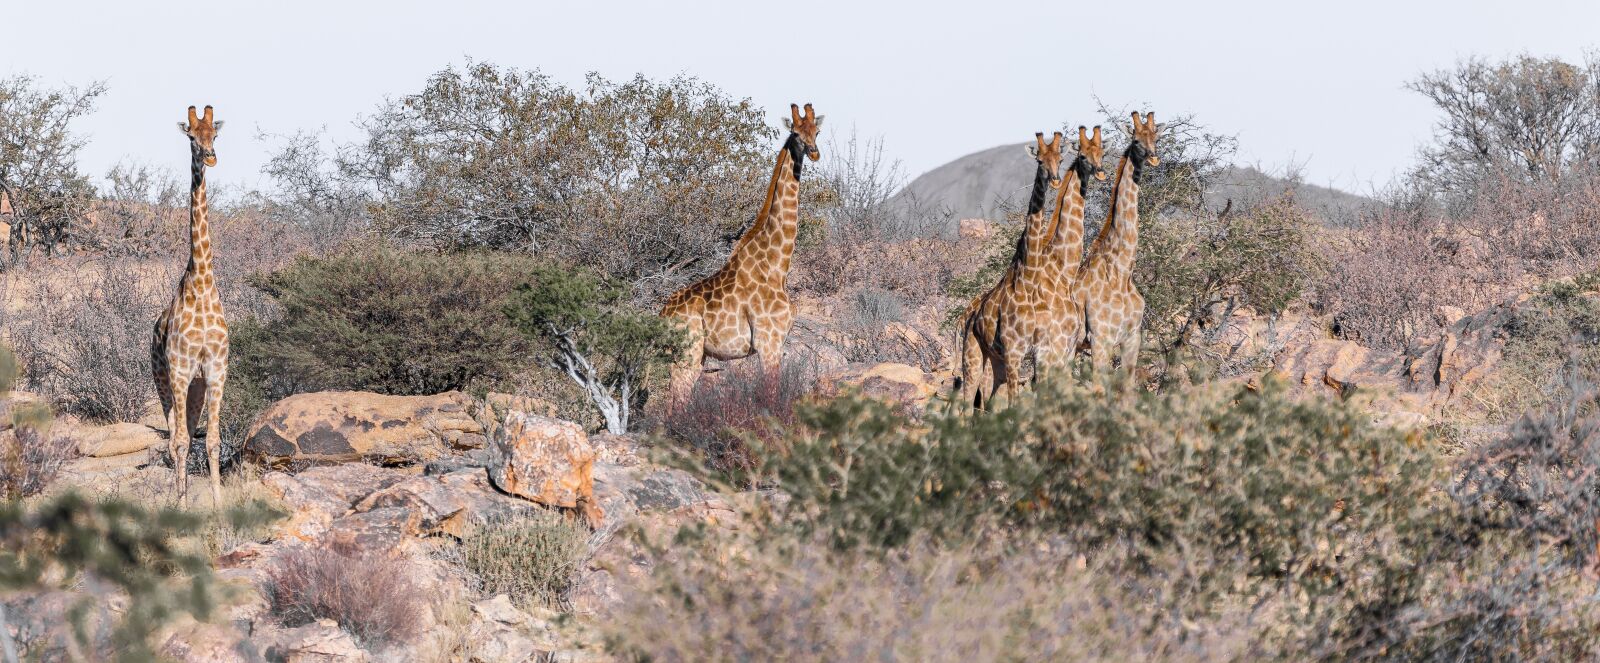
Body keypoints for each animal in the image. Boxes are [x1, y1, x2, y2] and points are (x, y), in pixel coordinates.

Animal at [659, 100, 825, 395]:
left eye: (817, 132)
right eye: (795, 133)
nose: (814, 153)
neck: (777, 266)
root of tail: (661, 314)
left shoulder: (777, 343)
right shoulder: (768, 343)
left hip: (698, 356)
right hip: (687, 354)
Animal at [953, 131, 1068, 406]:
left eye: (1060, 159)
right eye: (1039, 161)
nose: (1055, 180)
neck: (1028, 281)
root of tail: (964, 316)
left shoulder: (1038, 350)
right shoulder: (1015, 352)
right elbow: (1015, 403)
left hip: (996, 360)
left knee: (986, 404)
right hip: (973, 355)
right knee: (966, 404)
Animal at [1075, 111, 1164, 374]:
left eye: (1156, 136)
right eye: (1136, 140)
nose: (1154, 158)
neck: (1122, 272)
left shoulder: (1132, 337)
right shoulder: (1100, 338)